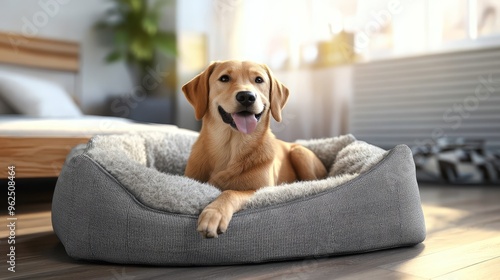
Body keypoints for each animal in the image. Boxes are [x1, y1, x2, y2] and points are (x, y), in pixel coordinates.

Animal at [182, 60, 326, 237]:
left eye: (258, 80)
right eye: (224, 78)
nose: (246, 96)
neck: (231, 148)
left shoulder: (259, 190)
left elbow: (230, 192)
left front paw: (214, 213)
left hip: (300, 153)